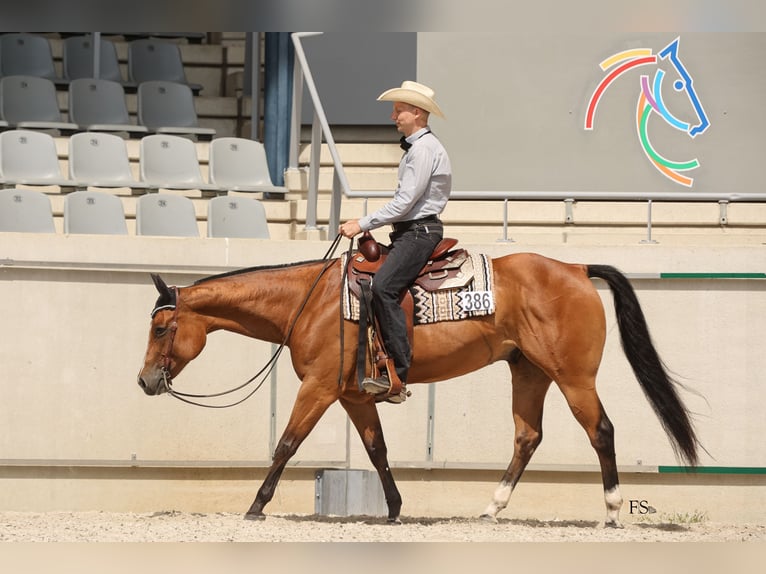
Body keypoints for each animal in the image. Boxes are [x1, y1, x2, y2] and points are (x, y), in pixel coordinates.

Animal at [138, 248, 704, 528]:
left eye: (161, 328)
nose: (144, 381)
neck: (309, 301)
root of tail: (576, 268)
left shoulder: (319, 388)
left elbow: (287, 443)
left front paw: (257, 505)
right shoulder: (353, 396)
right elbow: (377, 450)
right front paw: (393, 509)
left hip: (573, 377)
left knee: (601, 430)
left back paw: (610, 511)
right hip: (529, 372)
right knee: (527, 437)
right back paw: (491, 509)